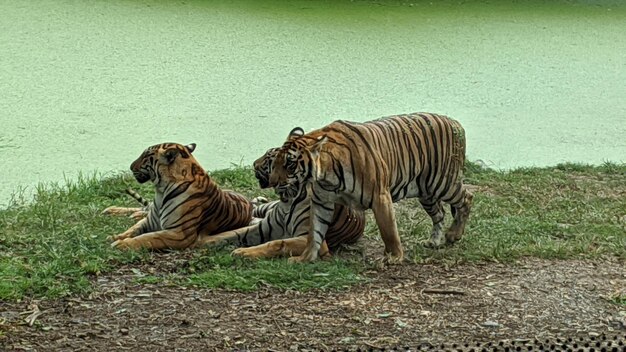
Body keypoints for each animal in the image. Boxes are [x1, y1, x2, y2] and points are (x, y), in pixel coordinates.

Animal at [102, 142, 254, 249]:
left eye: (145, 156)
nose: (130, 166)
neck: (160, 191)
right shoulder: (149, 221)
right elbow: (133, 229)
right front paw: (115, 237)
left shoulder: (179, 234)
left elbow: (148, 238)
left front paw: (122, 244)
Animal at [195, 146, 364, 258]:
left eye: (268, 158)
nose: (253, 164)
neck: (287, 200)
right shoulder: (263, 227)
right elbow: (232, 233)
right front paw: (203, 241)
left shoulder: (313, 240)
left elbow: (277, 243)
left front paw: (242, 252)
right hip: (265, 208)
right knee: (253, 209)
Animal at [268, 111, 472, 262]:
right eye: (276, 162)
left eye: (290, 164)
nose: (272, 182)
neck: (326, 176)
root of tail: (456, 122)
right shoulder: (321, 202)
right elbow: (314, 233)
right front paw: (304, 258)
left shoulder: (380, 196)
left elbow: (388, 230)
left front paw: (394, 257)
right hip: (426, 192)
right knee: (440, 213)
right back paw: (434, 241)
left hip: (442, 183)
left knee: (467, 198)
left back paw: (454, 235)